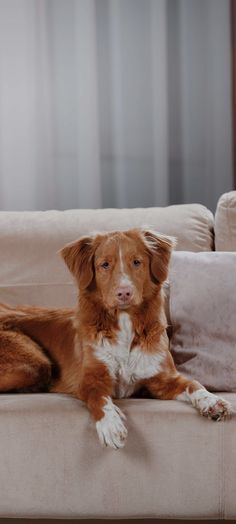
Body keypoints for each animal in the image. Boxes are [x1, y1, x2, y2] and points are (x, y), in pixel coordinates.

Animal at [0, 227, 231, 448]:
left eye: (136, 262)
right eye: (104, 265)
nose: (124, 292)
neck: (125, 323)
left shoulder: (163, 379)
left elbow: (193, 383)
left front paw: (212, 401)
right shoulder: (90, 379)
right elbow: (99, 398)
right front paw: (110, 425)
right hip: (34, 364)